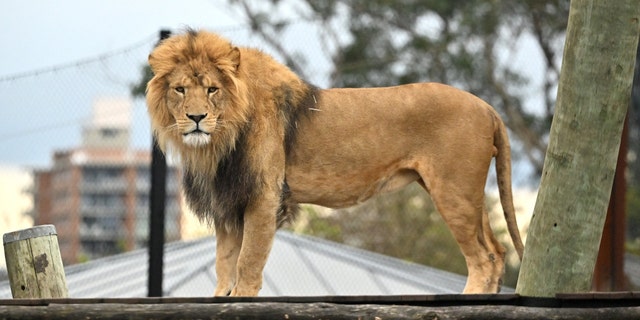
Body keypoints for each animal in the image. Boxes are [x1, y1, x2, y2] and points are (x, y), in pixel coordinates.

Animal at [149, 28, 524, 296]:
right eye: (180, 89)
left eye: (212, 89)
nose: (196, 118)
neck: (218, 142)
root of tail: (487, 107)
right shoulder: (227, 202)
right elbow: (224, 267)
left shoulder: (263, 197)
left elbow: (247, 266)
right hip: (468, 194)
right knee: (497, 252)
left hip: (453, 190)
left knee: (484, 258)